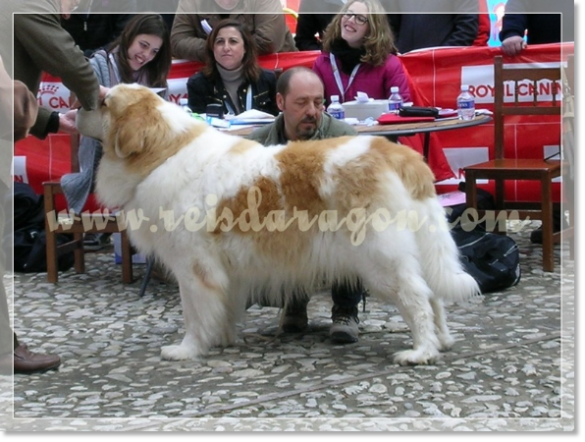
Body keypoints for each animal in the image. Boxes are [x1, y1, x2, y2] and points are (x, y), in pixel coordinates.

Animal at [89, 83, 476, 366]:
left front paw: (188, 349)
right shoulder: (227, 274)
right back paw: (442, 342)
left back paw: (420, 352)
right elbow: (222, 310)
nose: (80, 107)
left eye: (104, 102)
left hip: (379, 259)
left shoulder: (194, 269)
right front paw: (222, 339)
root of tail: (395, 153)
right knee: (433, 294)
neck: (166, 152)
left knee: (417, 297)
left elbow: (195, 314)